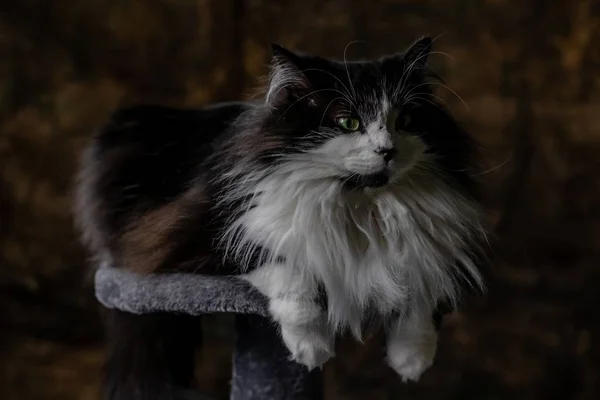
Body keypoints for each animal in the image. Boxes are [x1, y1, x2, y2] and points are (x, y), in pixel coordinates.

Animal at [74, 37, 488, 400]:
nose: (388, 151)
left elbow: (420, 291)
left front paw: (412, 361)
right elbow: (291, 271)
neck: (359, 205)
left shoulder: (429, 245)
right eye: (348, 123)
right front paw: (311, 349)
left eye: (404, 120)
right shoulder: (200, 233)